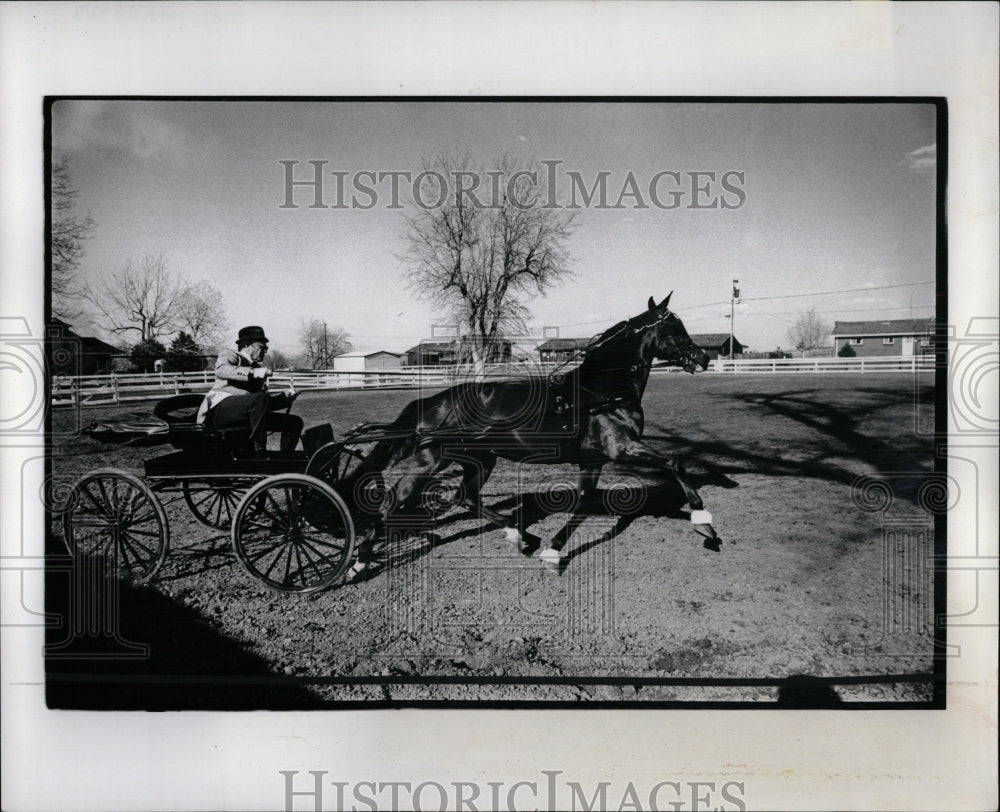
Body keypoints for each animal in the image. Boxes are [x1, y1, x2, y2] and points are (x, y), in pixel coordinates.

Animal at [348, 294, 716, 580]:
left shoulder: (593, 460)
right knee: (393, 501)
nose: (703, 358)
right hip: (430, 461)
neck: (601, 392)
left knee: (466, 497)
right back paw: (360, 561)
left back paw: (520, 534)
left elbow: (584, 504)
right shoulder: (622, 448)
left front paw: (552, 551)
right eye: (675, 328)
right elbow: (675, 463)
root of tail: (433, 401)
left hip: (481, 460)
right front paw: (704, 522)